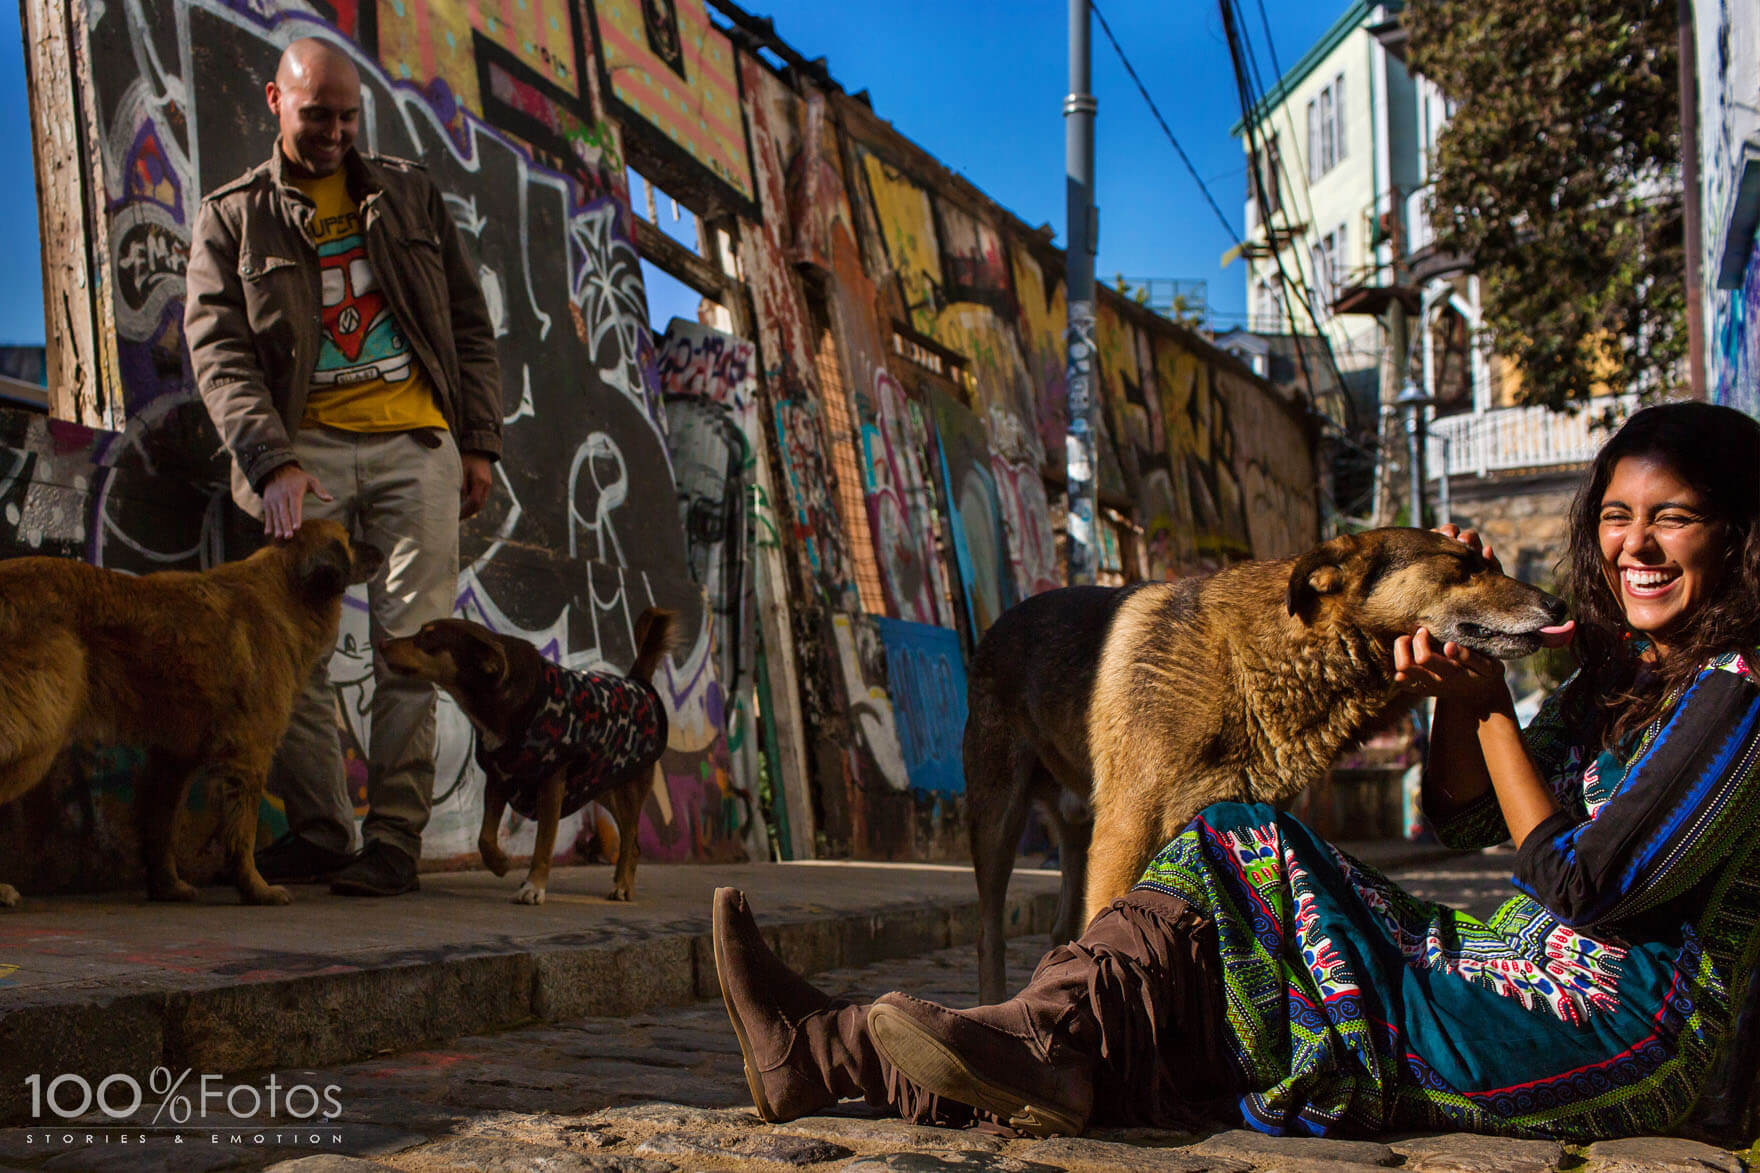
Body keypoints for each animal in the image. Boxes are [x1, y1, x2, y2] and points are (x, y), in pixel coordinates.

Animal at [0, 517, 381, 901]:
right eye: (350, 539)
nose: (381, 551)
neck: (288, 587)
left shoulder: (174, 756)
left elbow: (162, 826)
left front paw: (167, 886)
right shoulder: (249, 755)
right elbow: (241, 834)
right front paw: (256, 889)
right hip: (39, 732)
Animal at [381, 605, 675, 898]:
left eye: (427, 637)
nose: (382, 644)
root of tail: (638, 683)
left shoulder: (552, 783)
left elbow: (543, 843)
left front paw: (534, 886)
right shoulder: (499, 778)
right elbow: (485, 837)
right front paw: (499, 863)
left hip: (628, 790)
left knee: (630, 841)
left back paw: (623, 885)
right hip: (600, 783)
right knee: (632, 842)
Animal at [971, 528, 1576, 993]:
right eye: (1463, 567)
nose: (1560, 606)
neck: (1262, 661)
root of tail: (997, 624)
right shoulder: (1126, 832)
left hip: (1075, 833)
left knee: (1060, 931)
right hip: (1000, 825)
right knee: (991, 930)